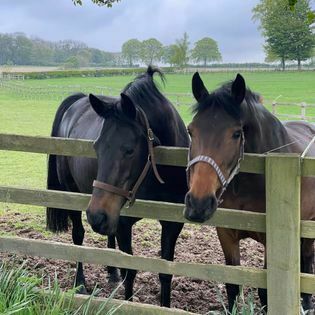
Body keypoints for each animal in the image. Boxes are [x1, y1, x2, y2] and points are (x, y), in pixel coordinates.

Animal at [46, 67, 190, 308]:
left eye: (129, 150)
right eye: (96, 146)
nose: (96, 215)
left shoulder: (172, 223)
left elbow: (165, 272)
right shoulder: (123, 222)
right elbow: (130, 271)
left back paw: (112, 272)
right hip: (73, 195)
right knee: (78, 236)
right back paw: (80, 284)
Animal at [185, 73, 315, 314]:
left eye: (236, 133)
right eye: (191, 130)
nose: (198, 204)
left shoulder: (270, 241)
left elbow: (265, 292)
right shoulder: (226, 234)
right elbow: (232, 285)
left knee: (308, 257)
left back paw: (307, 302)